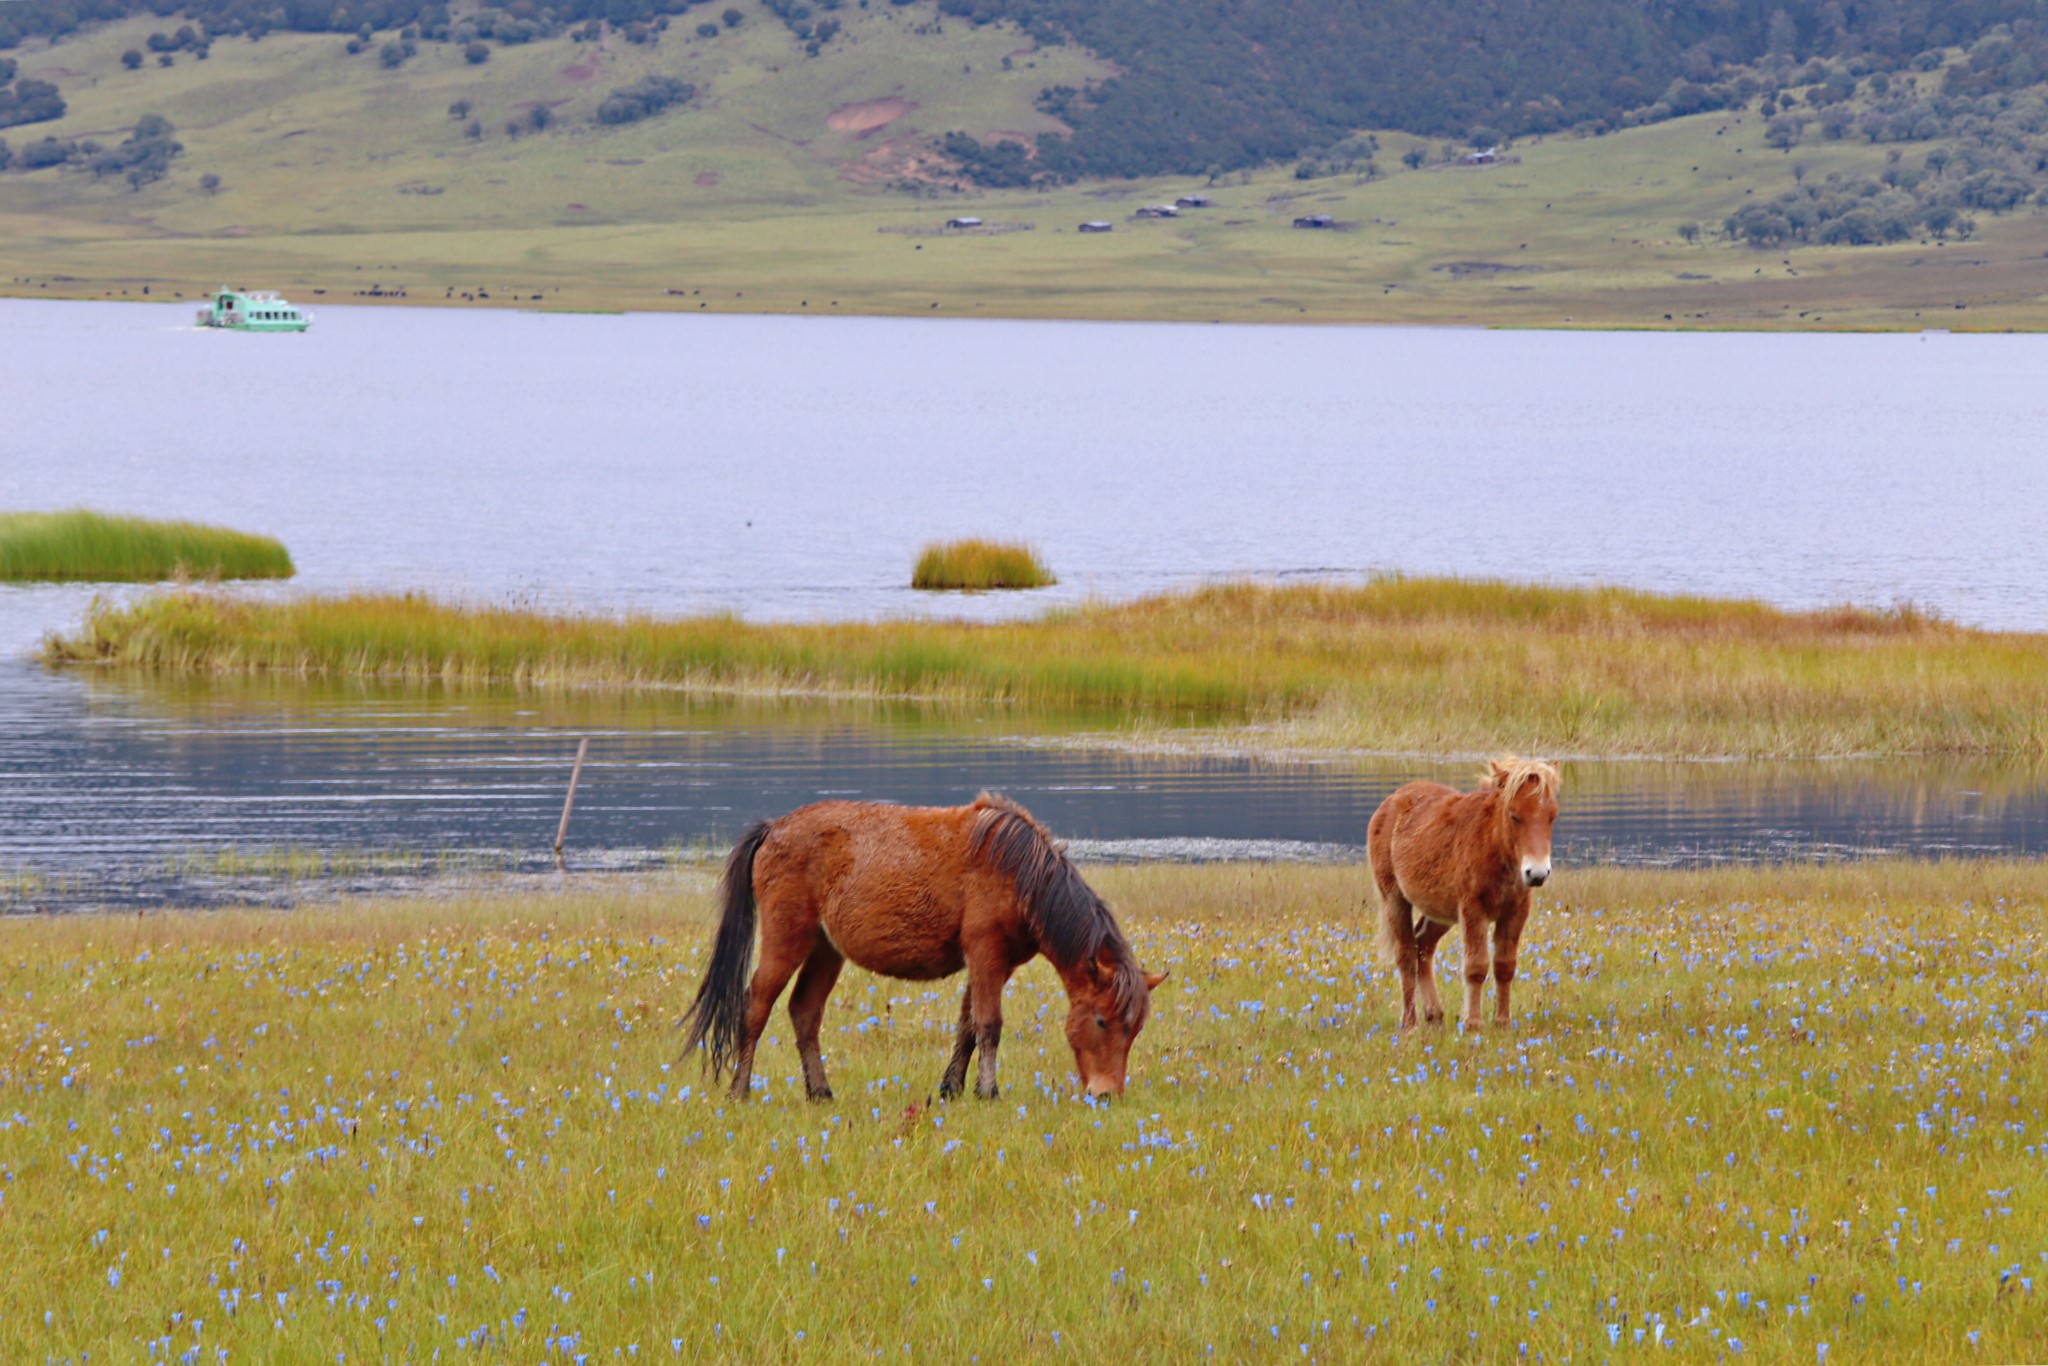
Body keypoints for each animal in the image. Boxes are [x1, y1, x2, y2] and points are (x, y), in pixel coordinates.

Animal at [688, 794, 1171, 1105]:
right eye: (1102, 1020)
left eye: (1135, 1028)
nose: (1107, 1094)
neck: (1019, 871)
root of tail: (772, 829)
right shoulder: (985, 953)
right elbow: (989, 1024)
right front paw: (988, 1092)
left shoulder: (993, 964)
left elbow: (968, 1027)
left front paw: (952, 1089)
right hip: (787, 940)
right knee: (756, 1008)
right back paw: (739, 1091)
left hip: (826, 950)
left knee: (804, 1012)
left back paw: (820, 1092)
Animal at [1368, 753, 1556, 1032]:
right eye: (1514, 816)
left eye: (1551, 816)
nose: (1537, 873)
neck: (1493, 847)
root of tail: (1391, 801)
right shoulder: (1472, 910)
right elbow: (1476, 966)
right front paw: (1474, 1023)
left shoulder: (1515, 912)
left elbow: (1505, 965)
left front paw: (1502, 1022)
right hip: (1394, 899)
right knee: (1406, 954)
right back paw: (1410, 1023)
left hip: (1440, 912)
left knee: (1423, 946)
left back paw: (1434, 1015)